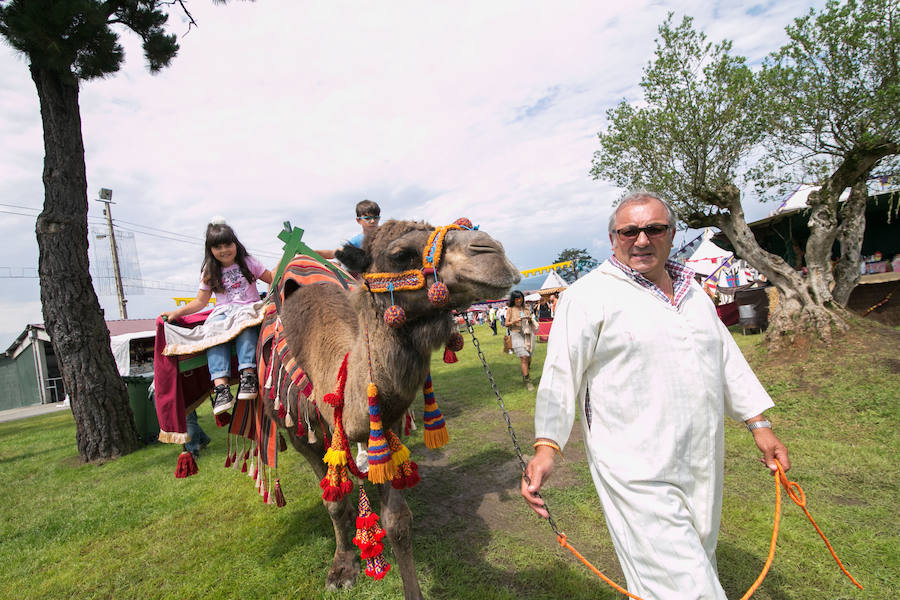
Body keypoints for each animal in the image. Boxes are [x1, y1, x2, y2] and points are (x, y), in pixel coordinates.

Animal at [268, 220, 516, 600]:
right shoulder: (301, 432)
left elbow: (397, 521)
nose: (493, 252)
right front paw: (342, 568)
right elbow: (333, 501)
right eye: (401, 255)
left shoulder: (387, 424)